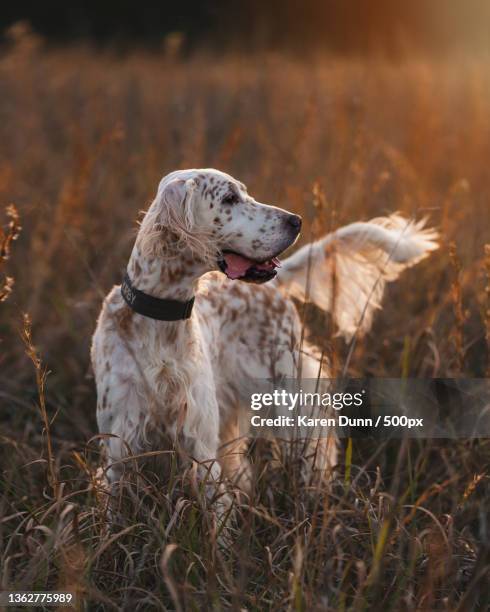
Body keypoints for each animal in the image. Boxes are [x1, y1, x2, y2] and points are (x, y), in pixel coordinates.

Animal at [90, 167, 438, 492]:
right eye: (229, 198)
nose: (296, 221)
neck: (159, 318)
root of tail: (275, 287)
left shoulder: (199, 443)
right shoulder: (119, 446)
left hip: (292, 396)